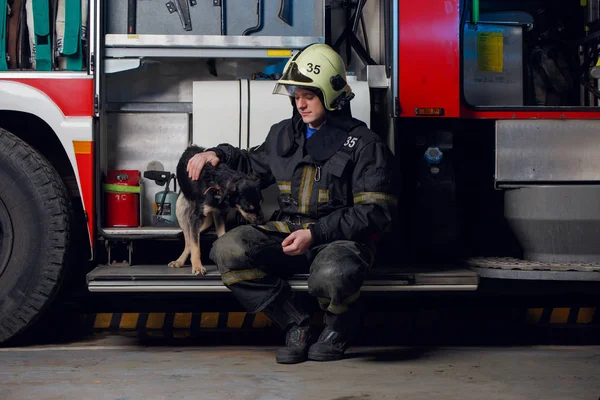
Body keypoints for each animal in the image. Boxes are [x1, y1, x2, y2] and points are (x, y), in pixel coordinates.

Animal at [168, 146, 264, 276]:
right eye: (248, 209)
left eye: (261, 203)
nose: (262, 222)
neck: (217, 185)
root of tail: (190, 148)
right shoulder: (196, 217)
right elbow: (195, 246)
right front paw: (197, 267)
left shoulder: (220, 214)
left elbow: (221, 236)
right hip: (181, 211)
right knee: (189, 239)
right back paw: (180, 261)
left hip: (206, 220)